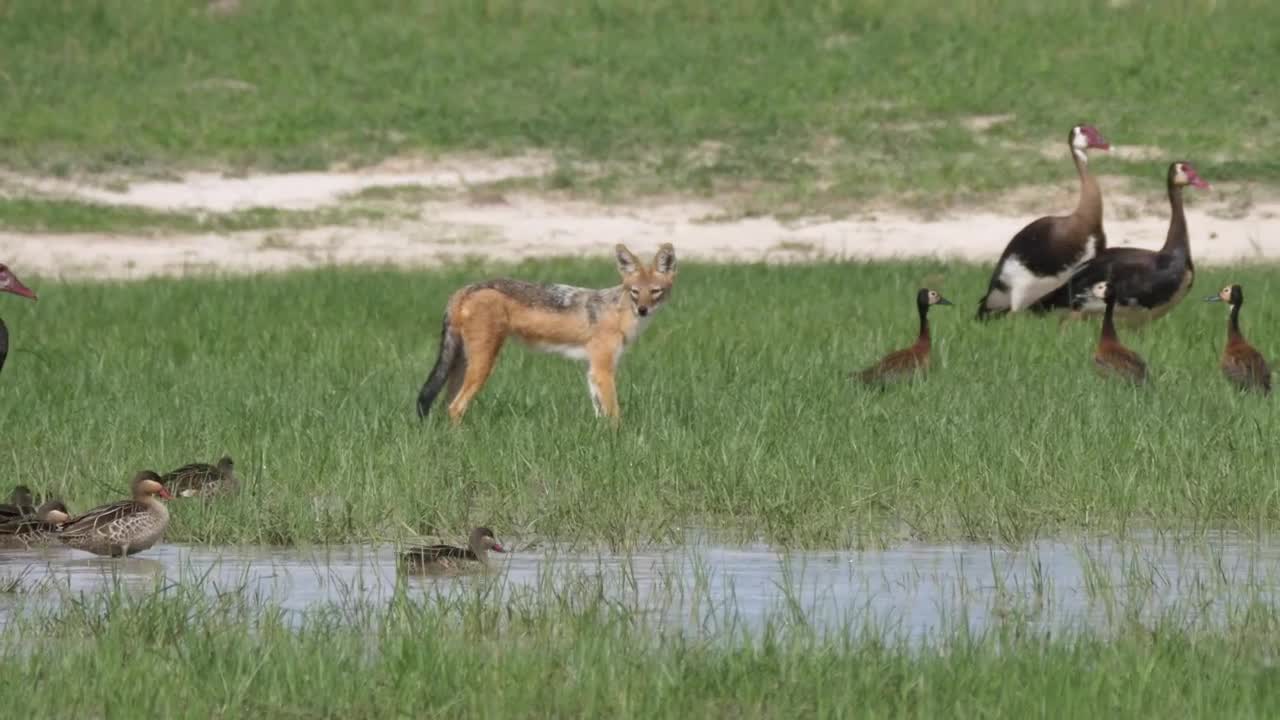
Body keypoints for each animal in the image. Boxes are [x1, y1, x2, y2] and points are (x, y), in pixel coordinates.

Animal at [416, 243, 677, 424]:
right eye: (635, 292)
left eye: (655, 292)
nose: (642, 310)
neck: (617, 312)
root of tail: (464, 289)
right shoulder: (603, 370)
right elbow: (614, 414)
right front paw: (618, 440)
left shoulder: (592, 370)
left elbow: (599, 412)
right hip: (483, 364)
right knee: (455, 407)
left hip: (461, 365)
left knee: (446, 406)